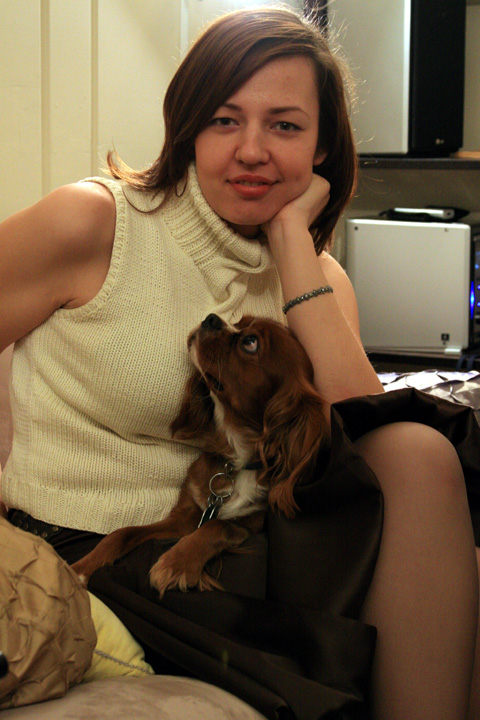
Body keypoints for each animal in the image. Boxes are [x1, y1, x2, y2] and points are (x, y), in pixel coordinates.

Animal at [72, 314, 329, 596]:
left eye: (251, 342)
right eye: (240, 320)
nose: (211, 318)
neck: (234, 459)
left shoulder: (251, 524)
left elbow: (218, 526)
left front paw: (177, 563)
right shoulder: (184, 518)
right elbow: (122, 533)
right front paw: (79, 569)